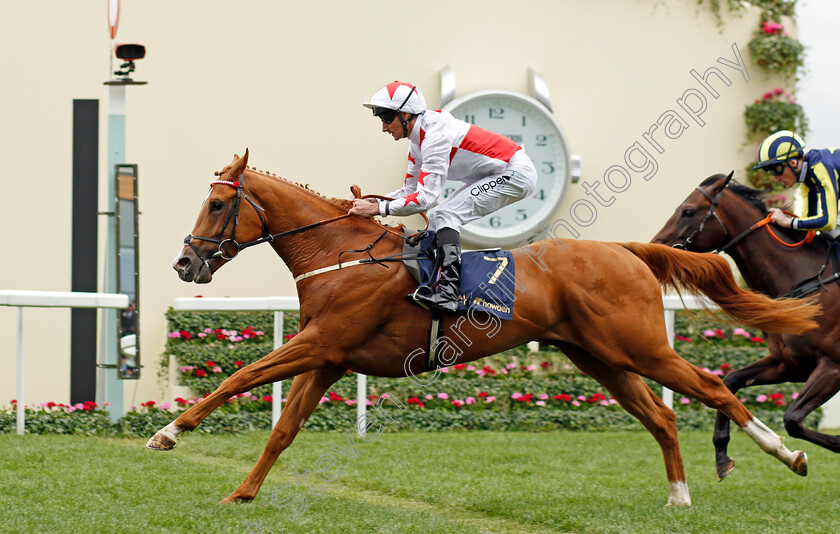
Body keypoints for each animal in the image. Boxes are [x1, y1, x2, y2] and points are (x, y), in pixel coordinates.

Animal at [146, 154, 820, 506]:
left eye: (216, 204)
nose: (183, 263)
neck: (338, 254)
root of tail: (626, 250)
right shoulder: (330, 357)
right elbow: (283, 429)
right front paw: (242, 494)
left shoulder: (319, 344)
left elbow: (238, 377)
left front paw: (168, 433)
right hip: (600, 358)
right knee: (661, 415)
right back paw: (679, 495)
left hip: (641, 347)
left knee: (714, 387)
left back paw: (786, 455)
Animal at [652, 175, 840, 482]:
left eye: (688, 211)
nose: (654, 245)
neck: (804, 281)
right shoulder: (790, 364)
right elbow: (730, 381)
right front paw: (721, 457)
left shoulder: (832, 367)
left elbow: (792, 419)